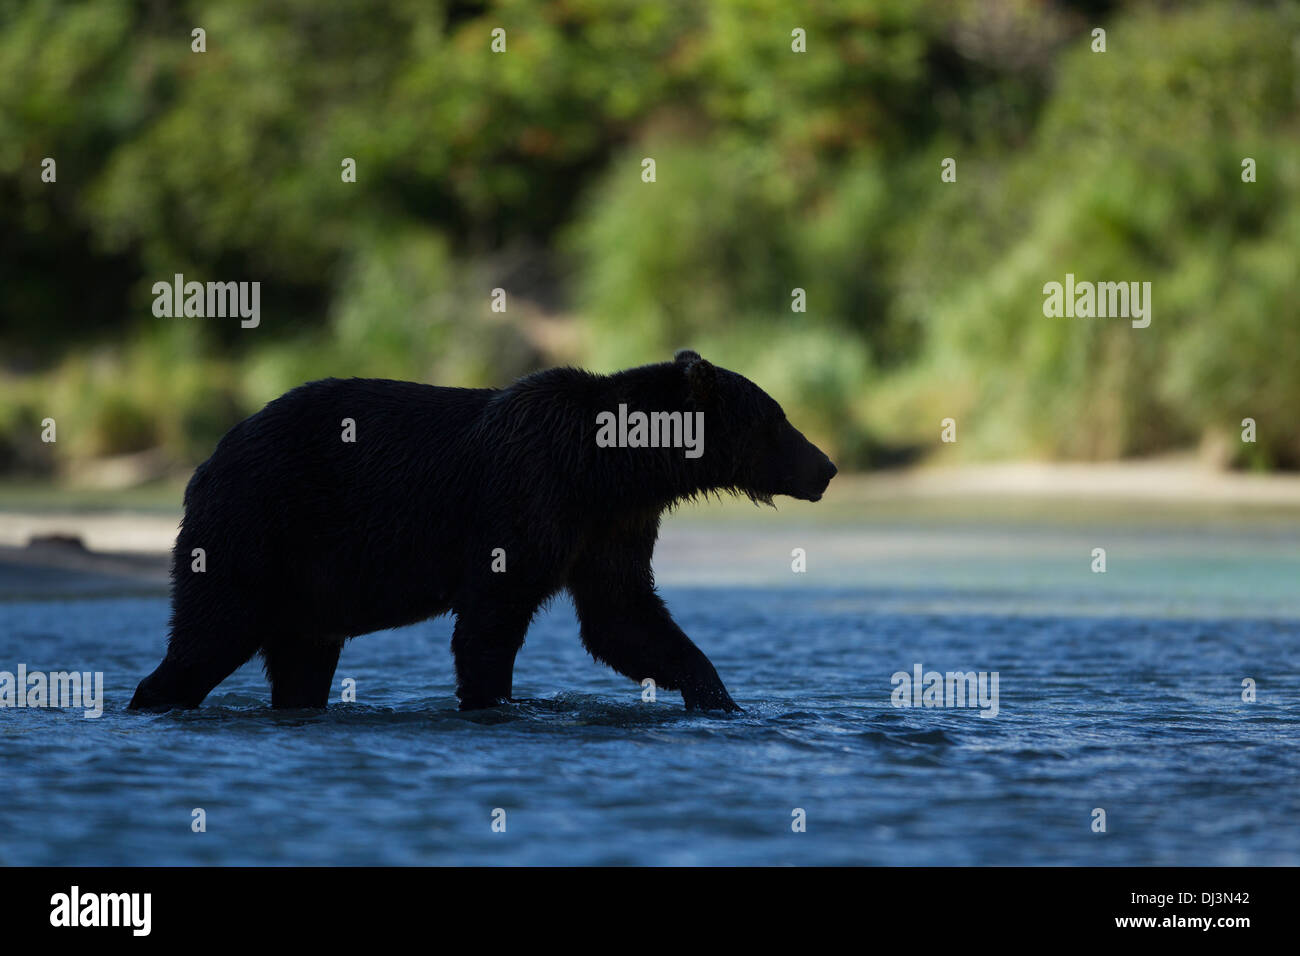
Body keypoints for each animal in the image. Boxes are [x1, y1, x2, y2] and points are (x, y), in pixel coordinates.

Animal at [129, 348, 832, 712]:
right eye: (778, 419)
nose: (825, 467)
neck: (610, 468)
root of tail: (205, 462)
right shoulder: (528, 494)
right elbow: (492, 619)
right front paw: (490, 700)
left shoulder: (609, 524)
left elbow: (624, 617)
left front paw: (721, 700)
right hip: (256, 527)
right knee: (210, 632)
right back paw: (153, 698)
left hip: (308, 583)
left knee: (301, 659)